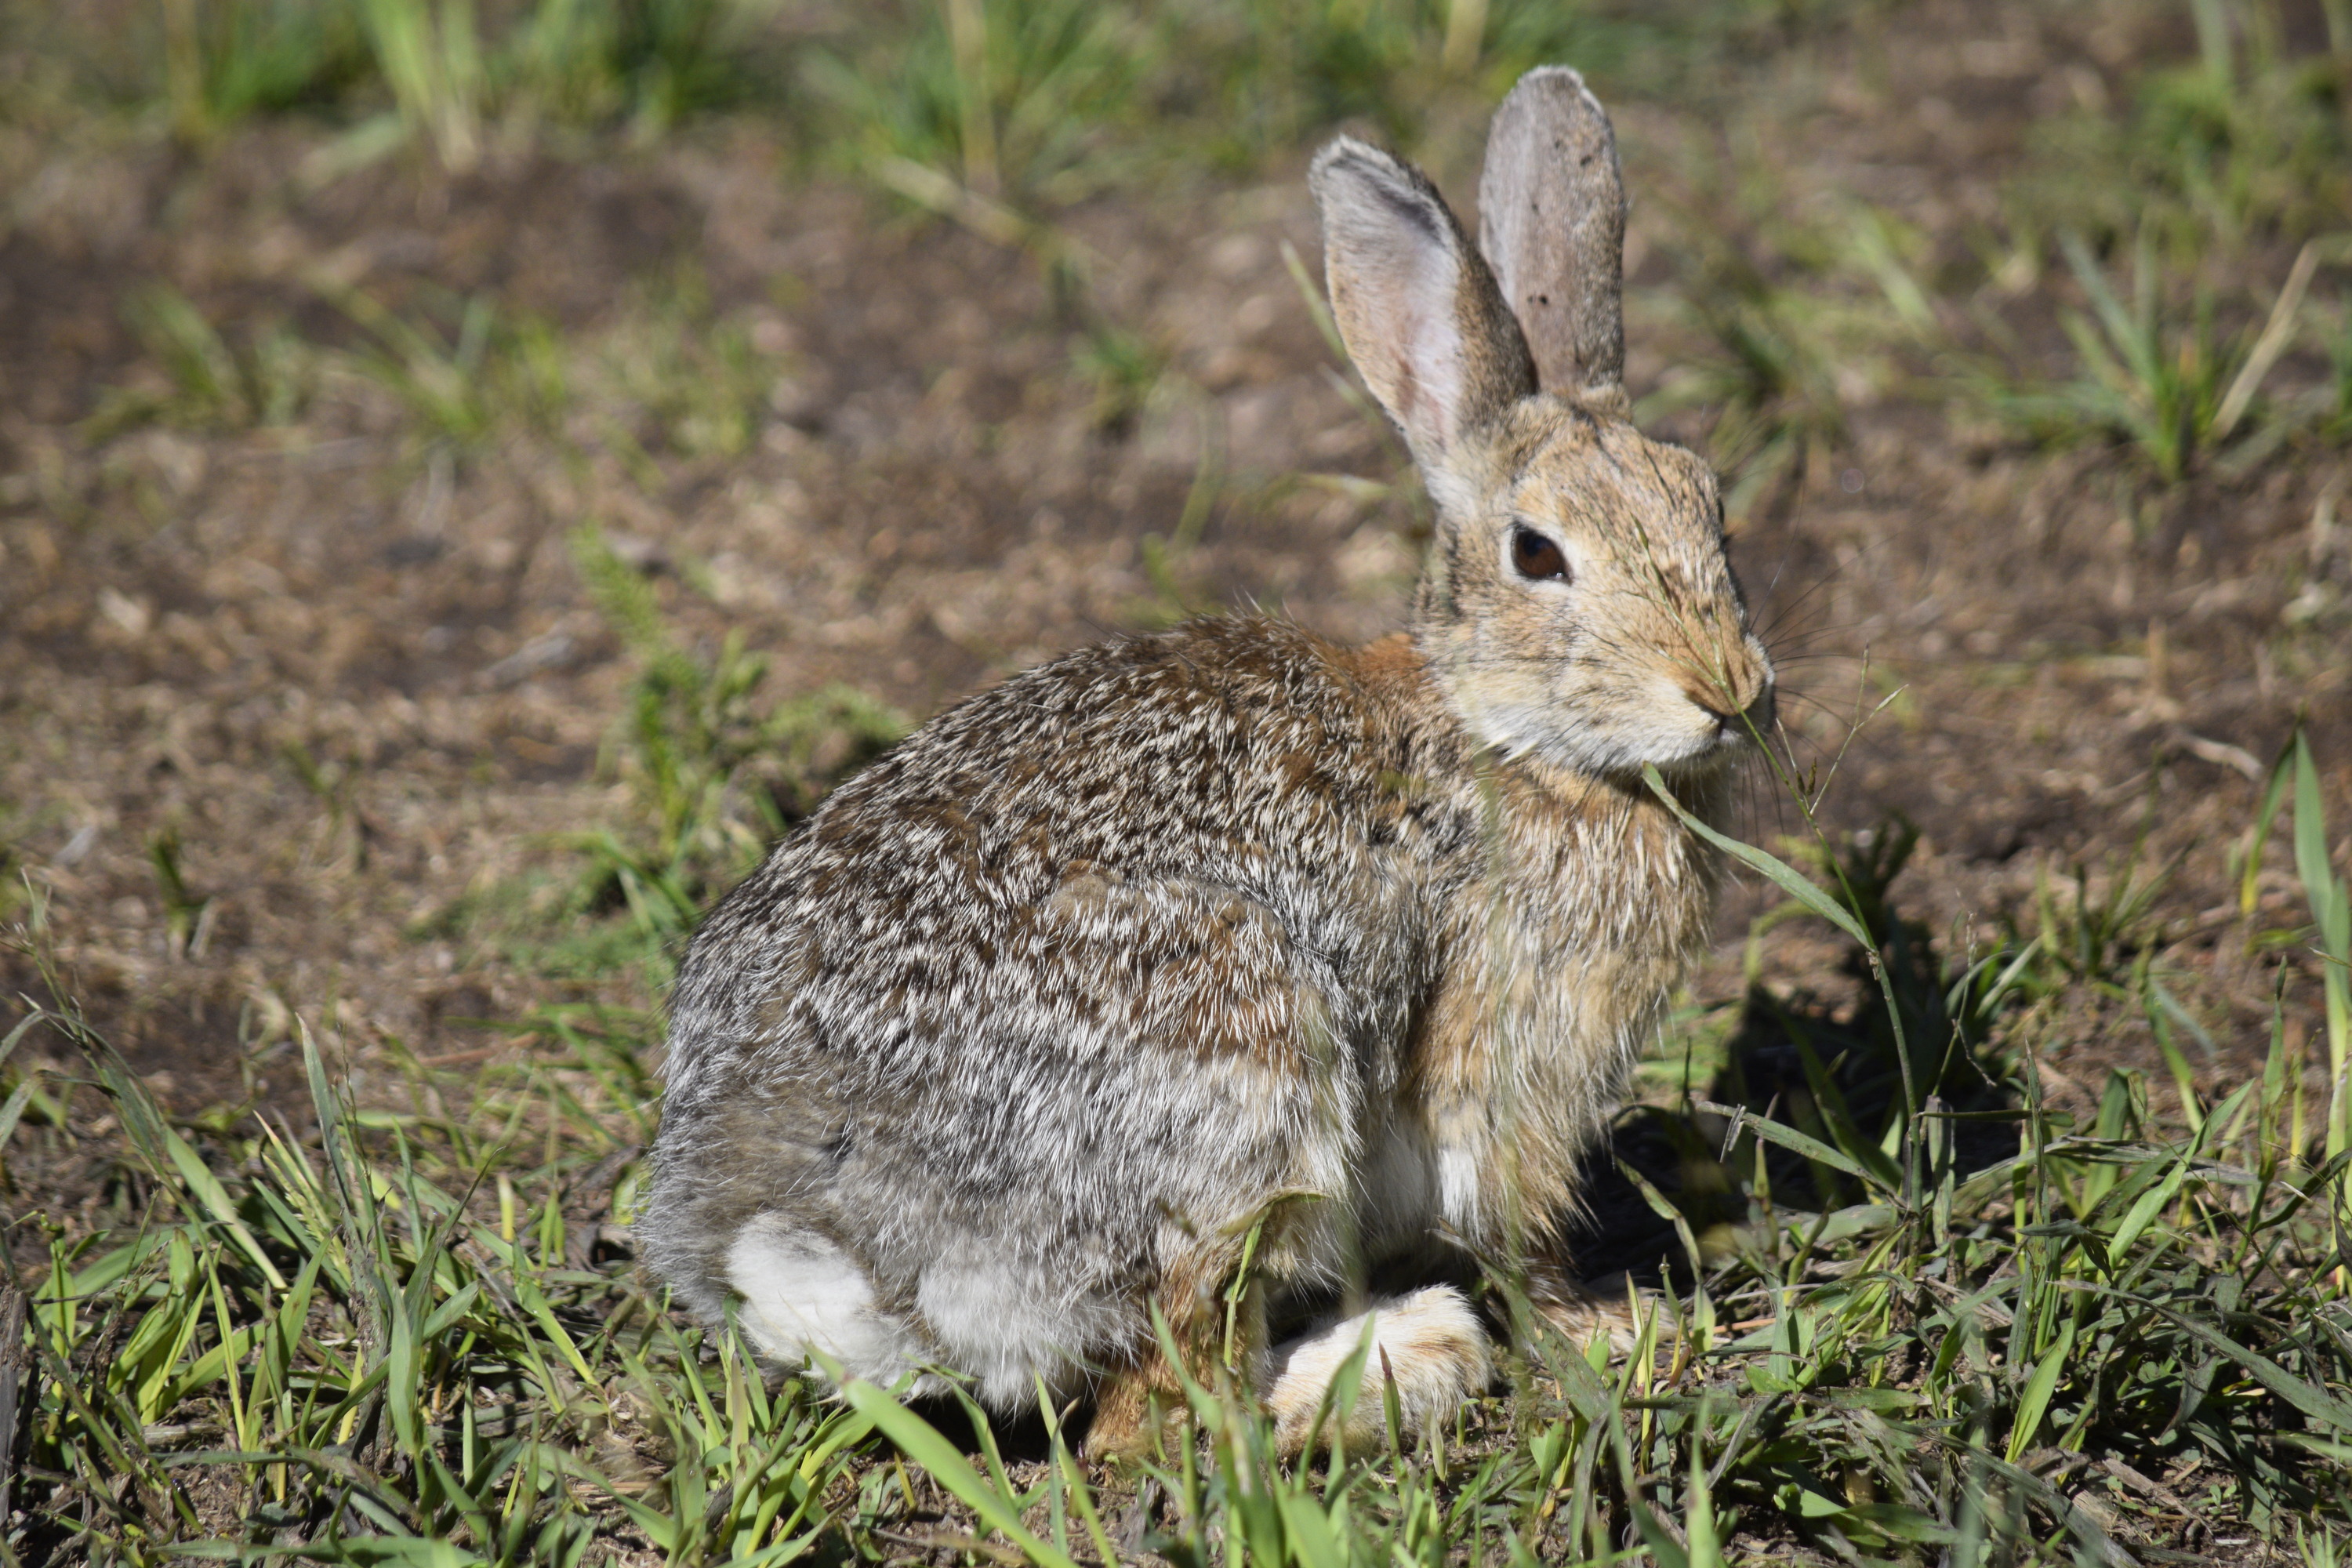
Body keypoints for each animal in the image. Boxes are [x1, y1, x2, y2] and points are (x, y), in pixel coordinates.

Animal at [640, 64, 1774, 1458]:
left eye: (1712, 508)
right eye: (1537, 554)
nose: (1727, 694)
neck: (1500, 735)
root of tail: (835, 1251)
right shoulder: (1504, 1067)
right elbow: (1518, 1234)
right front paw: (1616, 1333)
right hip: (1247, 1082)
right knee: (1163, 1417)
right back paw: (1405, 1358)